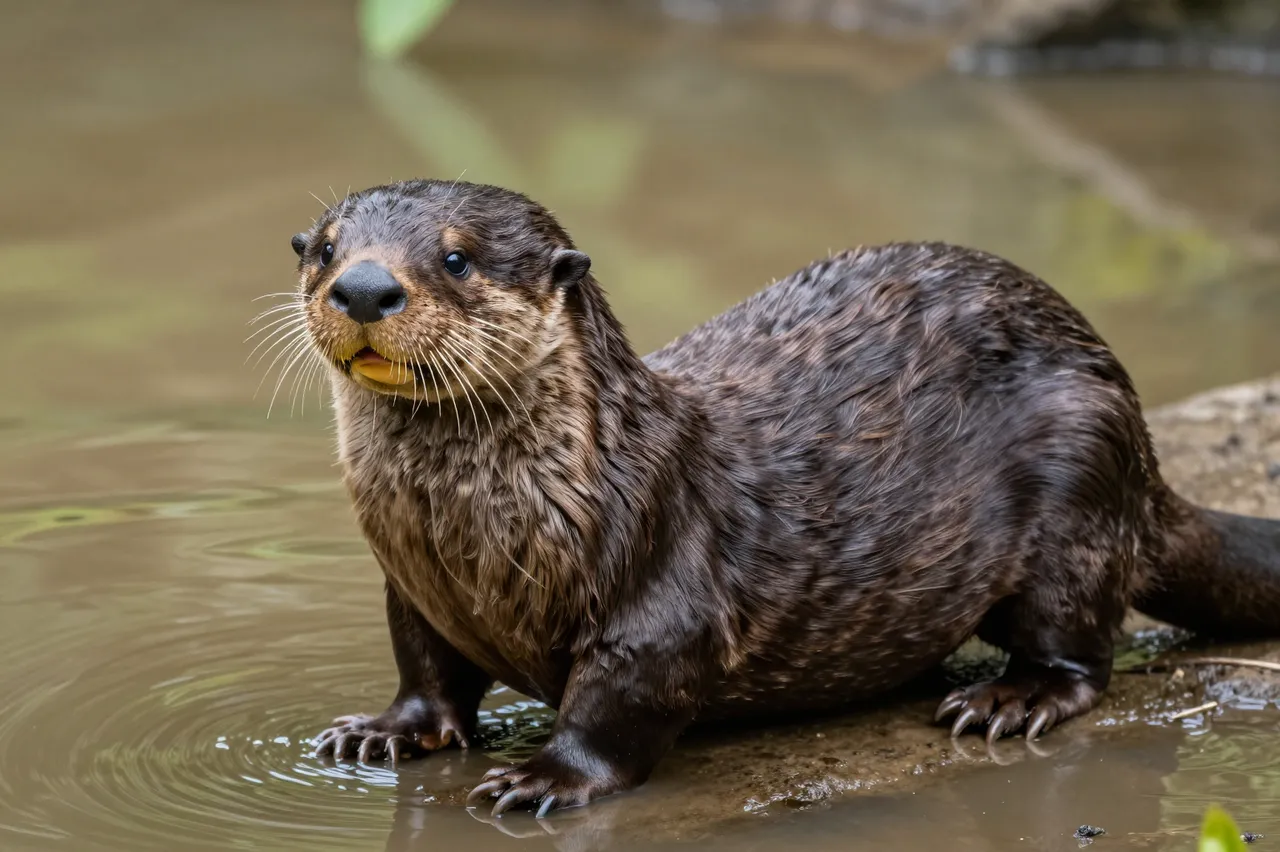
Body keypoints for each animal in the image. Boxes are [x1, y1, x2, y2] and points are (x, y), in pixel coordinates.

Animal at [279, 179, 1280, 818]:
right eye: (324, 248)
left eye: (458, 258)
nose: (363, 286)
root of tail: (1140, 437)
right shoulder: (414, 588)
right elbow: (426, 667)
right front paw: (384, 731)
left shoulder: (664, 580)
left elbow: (623, 696)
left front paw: (547, 778)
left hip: (1080, 466)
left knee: (1081, 649)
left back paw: (1010, 700)